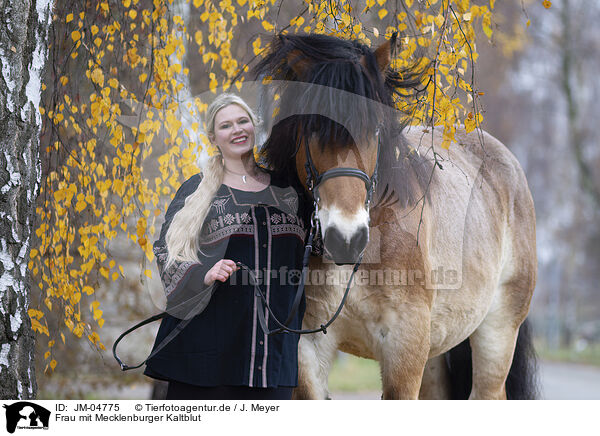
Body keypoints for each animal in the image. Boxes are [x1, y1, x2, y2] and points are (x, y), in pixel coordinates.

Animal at [253, 34, 540, 400]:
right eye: (313, 125)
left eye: (374, 128)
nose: (346, 238)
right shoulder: (308, 350)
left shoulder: (404, 350)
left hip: (497, 333)